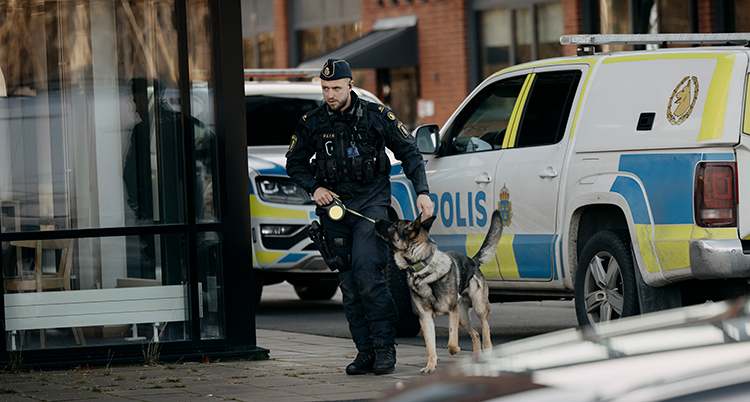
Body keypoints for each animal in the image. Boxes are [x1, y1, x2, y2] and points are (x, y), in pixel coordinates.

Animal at [376, 210, 506, 374]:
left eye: (394, 225)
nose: (376, 219)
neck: (423, 268)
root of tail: (473, 261)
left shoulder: (452, 311)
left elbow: (452, 341)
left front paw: (455, 350)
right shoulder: (425, 318)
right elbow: (430, 345)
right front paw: (430, 366)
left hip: (477, 307)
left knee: (485, 327)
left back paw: (488, 351)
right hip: (463, 318)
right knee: (476, 333)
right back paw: (477, 359)